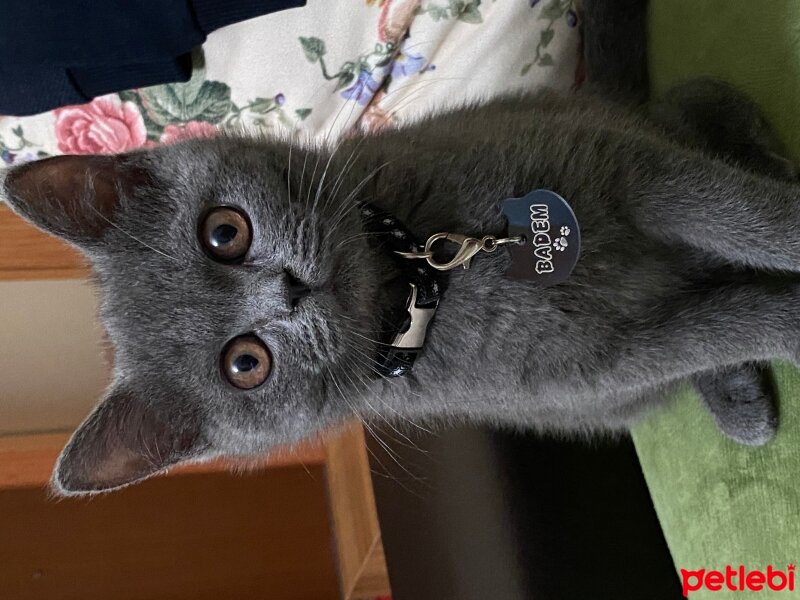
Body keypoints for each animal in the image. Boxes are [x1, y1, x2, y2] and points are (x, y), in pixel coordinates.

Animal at [0, 2, 792, 494]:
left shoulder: (620, 166)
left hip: (650, 116)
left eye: (223, 232)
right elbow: (723, 327)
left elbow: (740, 216)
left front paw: (785, 227)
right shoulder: (598, 365)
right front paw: (776, 325)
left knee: (715, 116)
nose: (290, 289)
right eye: (246, 365)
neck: (423, 275)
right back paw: (739, 401)